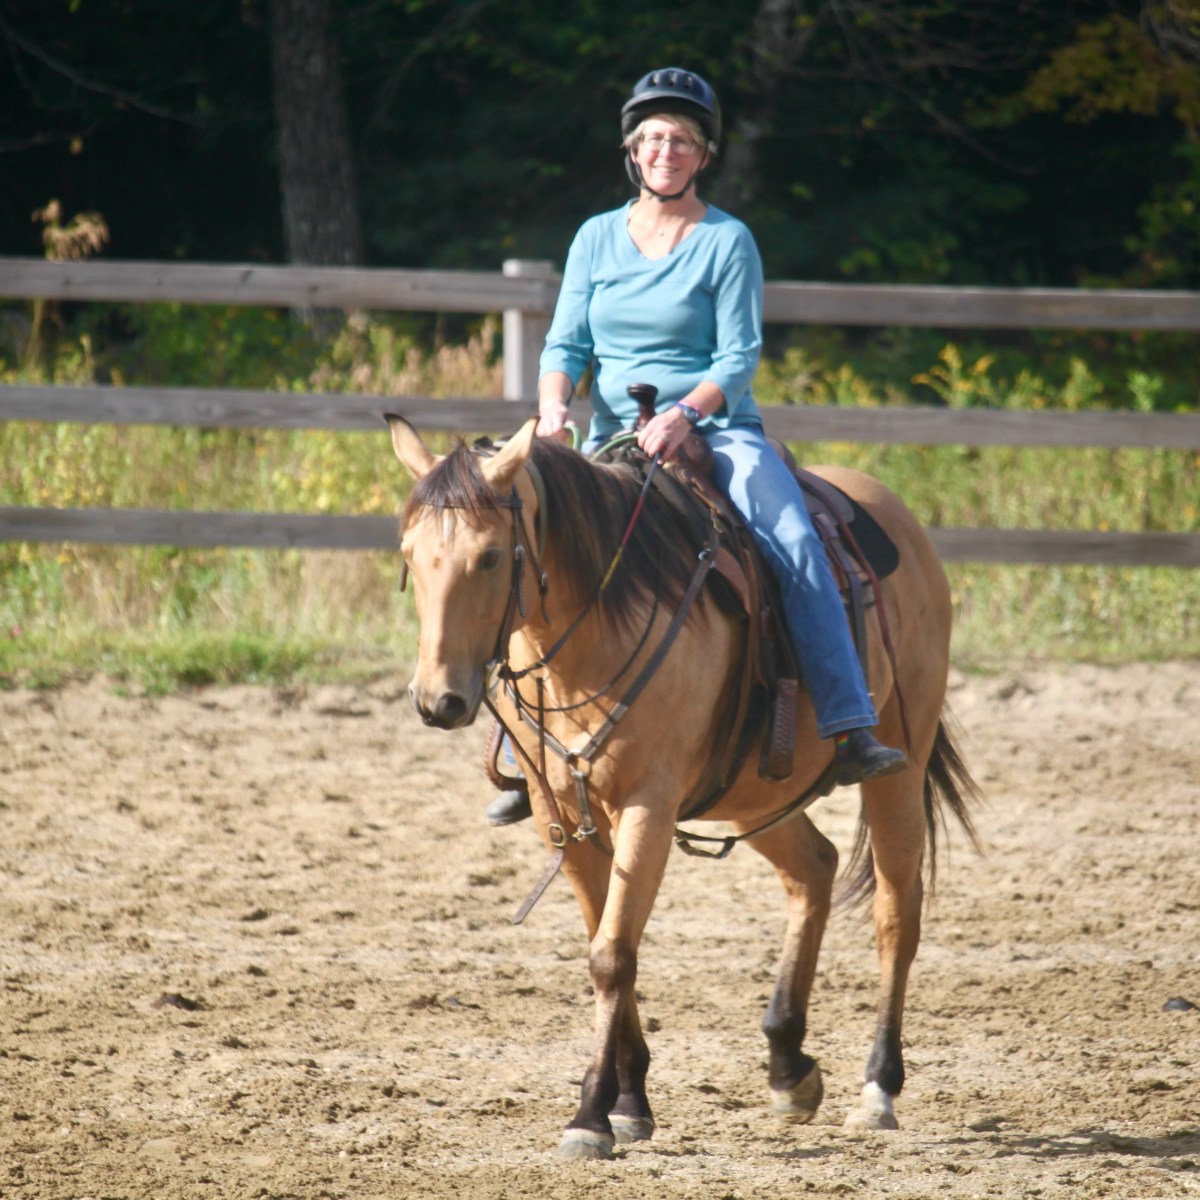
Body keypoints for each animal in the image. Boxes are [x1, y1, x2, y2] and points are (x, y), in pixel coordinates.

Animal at [386, 414, 979, 1160]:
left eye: (491, 556)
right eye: (410, 555)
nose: (438, 701)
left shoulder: (649, 806)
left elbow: (612, 955)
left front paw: (590, 1116)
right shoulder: (565, 817)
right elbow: (608, 940)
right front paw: (629, 1103)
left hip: (901, 761)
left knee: (897, 914)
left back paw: (878, 1089)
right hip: (754, 793)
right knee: (814, 867)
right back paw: (788, 1064)